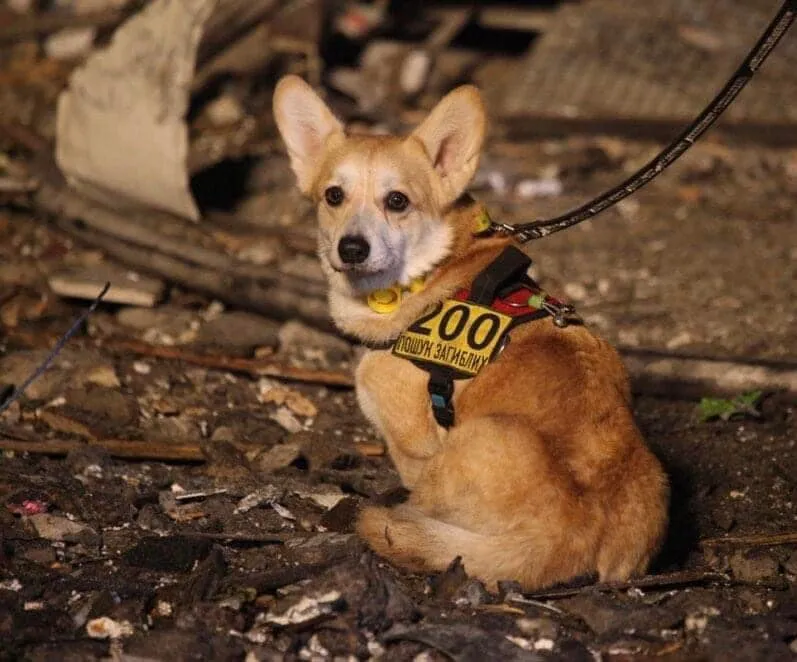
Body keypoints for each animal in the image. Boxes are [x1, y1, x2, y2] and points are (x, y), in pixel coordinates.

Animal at [272, 76, 664, 592]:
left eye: (397, 201)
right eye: (333, 196)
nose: (352, 248)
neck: (432, 272)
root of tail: (574, 534)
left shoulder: (414, 447)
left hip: (480, 437)